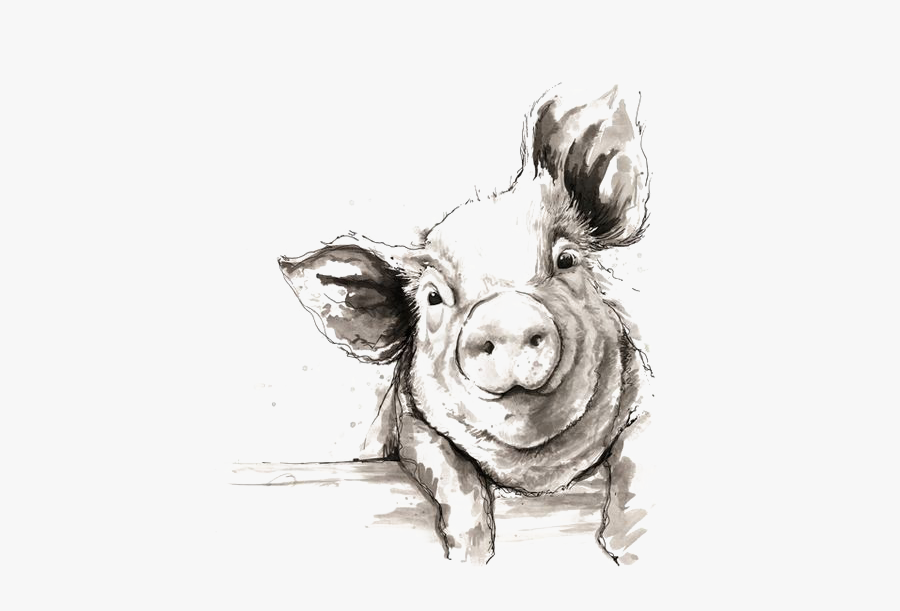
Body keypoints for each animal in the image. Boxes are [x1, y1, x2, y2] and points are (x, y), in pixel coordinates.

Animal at [278, 85, 652, 564]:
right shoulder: (408, 426)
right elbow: (449, 468)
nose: (506, 319)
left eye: (566, 258)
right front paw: (470, 557)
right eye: (433, 298)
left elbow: (638, 450)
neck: (537, 481)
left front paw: (629, 547)